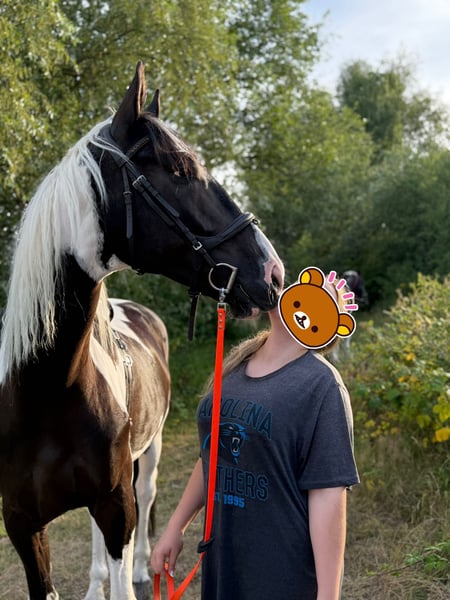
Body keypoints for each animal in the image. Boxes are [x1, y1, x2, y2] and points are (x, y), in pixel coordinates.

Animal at [0, 61, 283, 600]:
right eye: (180, 171)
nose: (273, 271)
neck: (48, 389)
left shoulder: (118, 507)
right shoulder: (23, 525)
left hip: (147, 456)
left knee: (146, 497)